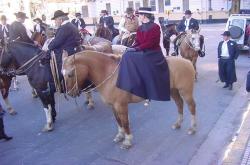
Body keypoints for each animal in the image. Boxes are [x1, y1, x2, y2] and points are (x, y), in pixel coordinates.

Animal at [61, 50, 196, 150]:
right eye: (62, 74)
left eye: (70, 74)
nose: (70, 93)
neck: (110, 75)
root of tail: (187, 62)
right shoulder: (113, 106)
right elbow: (118, 121)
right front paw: (120, 135)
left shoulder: (121, 105)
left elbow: (125, 122)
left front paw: (127, 141)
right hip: (174, 91)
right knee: (179, 104)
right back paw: (178, 124)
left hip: (186, 92)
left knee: (191, 107)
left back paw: (192, 128)